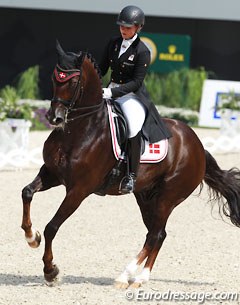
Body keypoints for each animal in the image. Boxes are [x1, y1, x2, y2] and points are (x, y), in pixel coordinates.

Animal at [21, 43, 240, 288]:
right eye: (54, 78)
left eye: (73, 81)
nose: (54, 117)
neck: (79, 129)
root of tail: (198, 145)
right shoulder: (52, 174)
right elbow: (27, 192)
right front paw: (31, 236)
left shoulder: (79, 190)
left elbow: (52, 227)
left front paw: (51, 271)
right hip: (145, 195)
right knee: (157, 233)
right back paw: (138, 277)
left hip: (168, 197)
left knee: (155, 234)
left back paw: (127, 276)